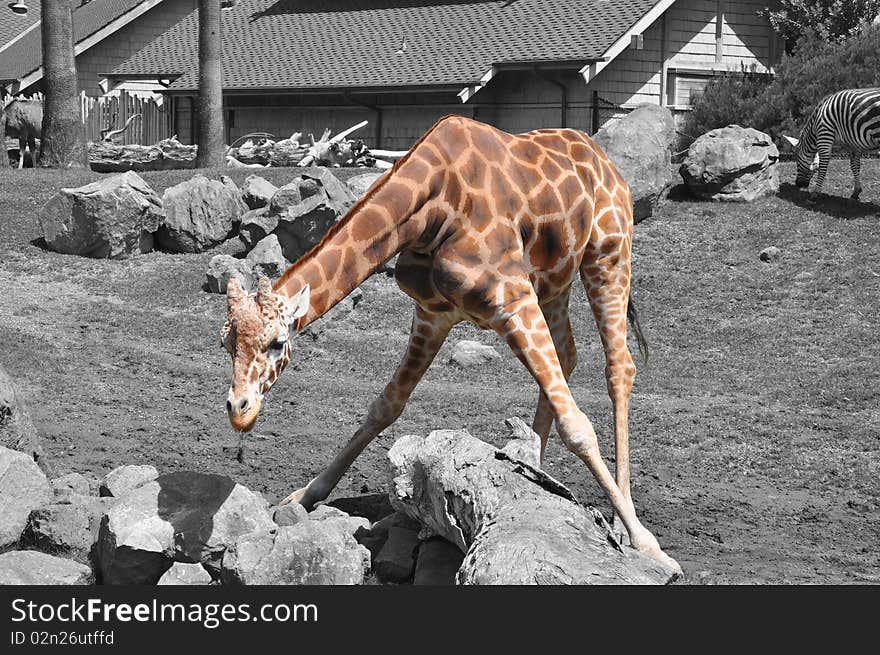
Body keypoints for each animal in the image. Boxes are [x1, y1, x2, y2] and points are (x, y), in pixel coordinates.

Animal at [220, 114, 680, 576]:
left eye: (278, 343)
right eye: (226, 343)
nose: (240, 411)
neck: (432, 206)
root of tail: (605, 160)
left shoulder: (513, 300)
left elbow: (578, 427)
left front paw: (647, 544)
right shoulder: (432, 313)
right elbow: (386, 405)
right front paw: (307, 494)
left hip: (608, 253)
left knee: (618, 367)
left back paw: (623, 518)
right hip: (554, 279)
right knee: (567, 355)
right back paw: (533, 466)